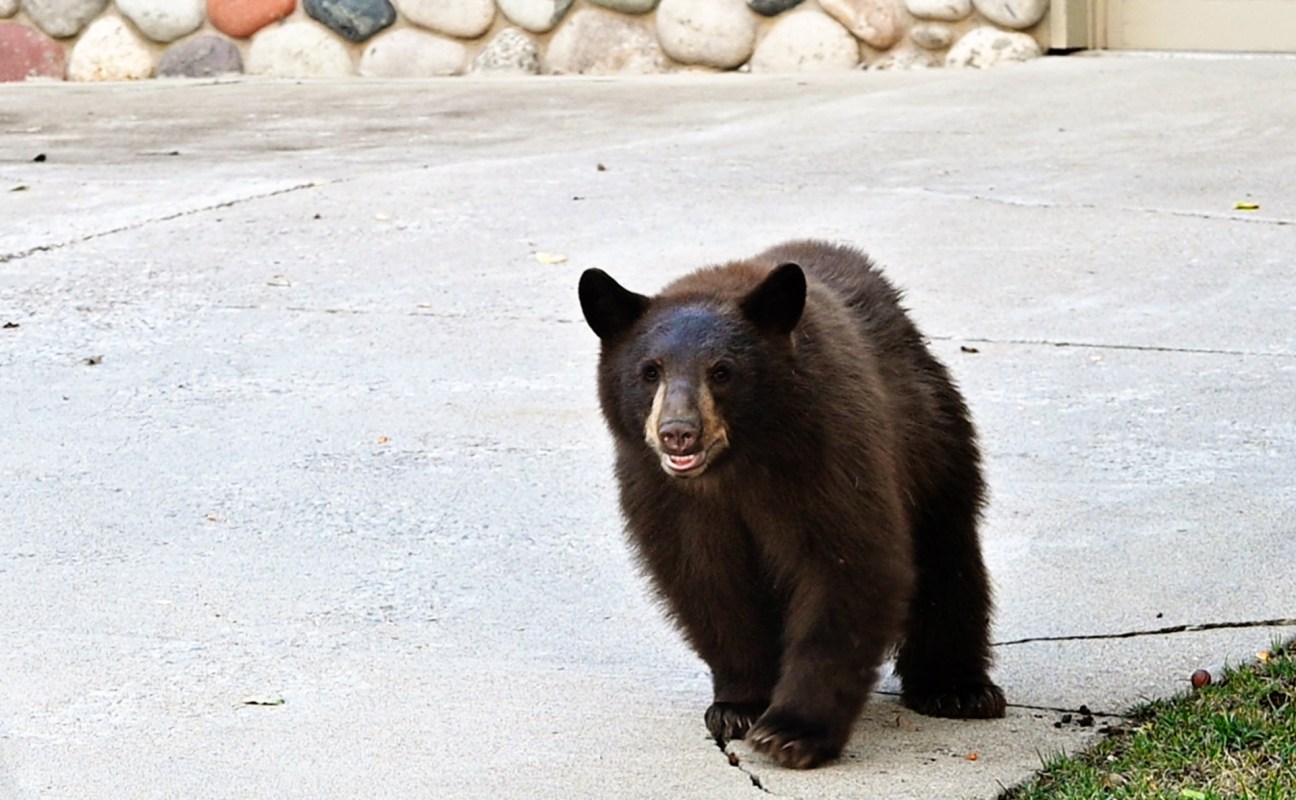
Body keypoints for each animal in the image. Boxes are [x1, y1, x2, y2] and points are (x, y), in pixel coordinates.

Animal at [578, 240, 1005, 769]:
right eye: (649, 371)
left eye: (722, 371)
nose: (678, 432)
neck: (734, 471)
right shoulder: (664, 494)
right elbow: (707, 580)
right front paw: (739, 706)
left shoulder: (827, 454)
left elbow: (847, 566)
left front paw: (792, 731)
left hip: (932, 442)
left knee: (949, 558)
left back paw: (957, 689)